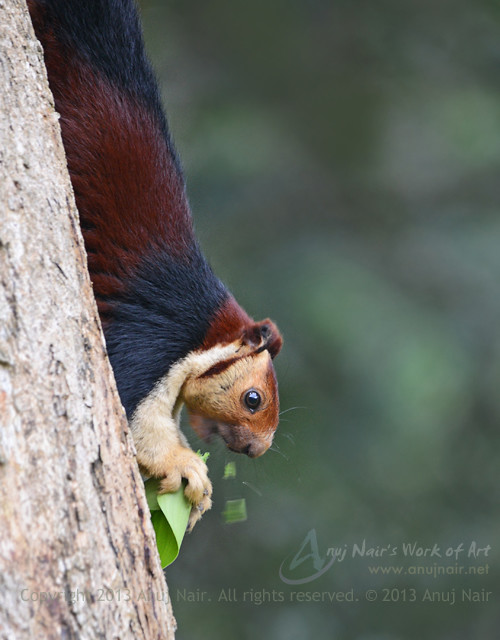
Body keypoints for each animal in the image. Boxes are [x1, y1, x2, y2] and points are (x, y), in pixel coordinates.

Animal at [28, 0, 282, 530]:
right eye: (254, 399)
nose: (257, 450)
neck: (206, 331)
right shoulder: (151, 340)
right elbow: (136, 418)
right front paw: (186, 467)